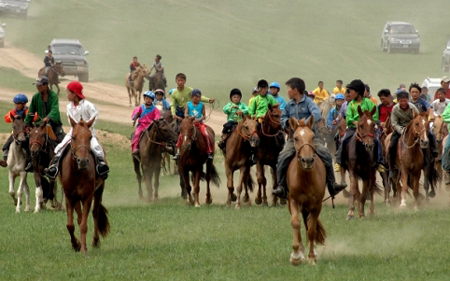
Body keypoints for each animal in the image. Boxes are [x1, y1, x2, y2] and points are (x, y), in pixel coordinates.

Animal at [59, 116, 110, 254]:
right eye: (74, 137)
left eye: (90, 137)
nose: (82, 161)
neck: (77, 173)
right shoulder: (69, 197)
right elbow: (70, 225)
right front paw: (76, 244)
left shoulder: (87, 196)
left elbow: (84, 225)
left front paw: (83, 249)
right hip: (77, 198)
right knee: (80, 217)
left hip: (99, 191)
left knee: (95, 213)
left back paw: (95, 241)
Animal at [286, 116, 326, 264]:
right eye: (296, 138)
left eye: (313, 137)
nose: (307, 160)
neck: (306, 179)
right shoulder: (293, 201)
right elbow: (295, 223)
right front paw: (296, 255)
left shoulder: (317, 205)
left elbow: (312, 230)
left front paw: (312, 257)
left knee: (308, 225)